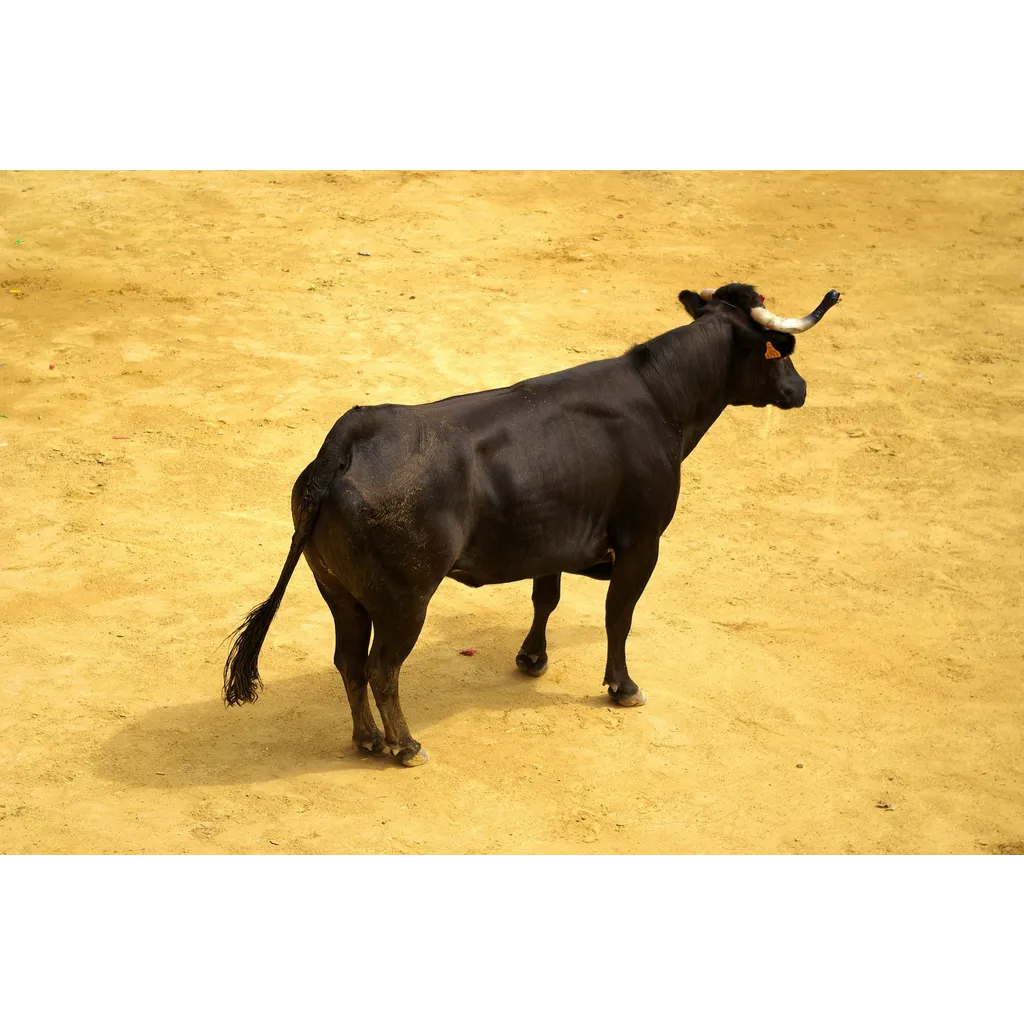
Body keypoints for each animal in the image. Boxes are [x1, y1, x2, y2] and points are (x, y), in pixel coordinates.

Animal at [223, 282, 841, 766]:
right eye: (778, 353)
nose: (801, 390)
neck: (659, 399)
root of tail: (345, 442)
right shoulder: (642, 542)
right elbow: (619, 616)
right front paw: (623, 687)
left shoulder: (553, 539)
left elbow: (546, 597)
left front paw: (532, 658)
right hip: (405, 600)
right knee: (382, 668)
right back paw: (406, 746)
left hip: (336, 590)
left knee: (350, 661)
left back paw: (369, 740)